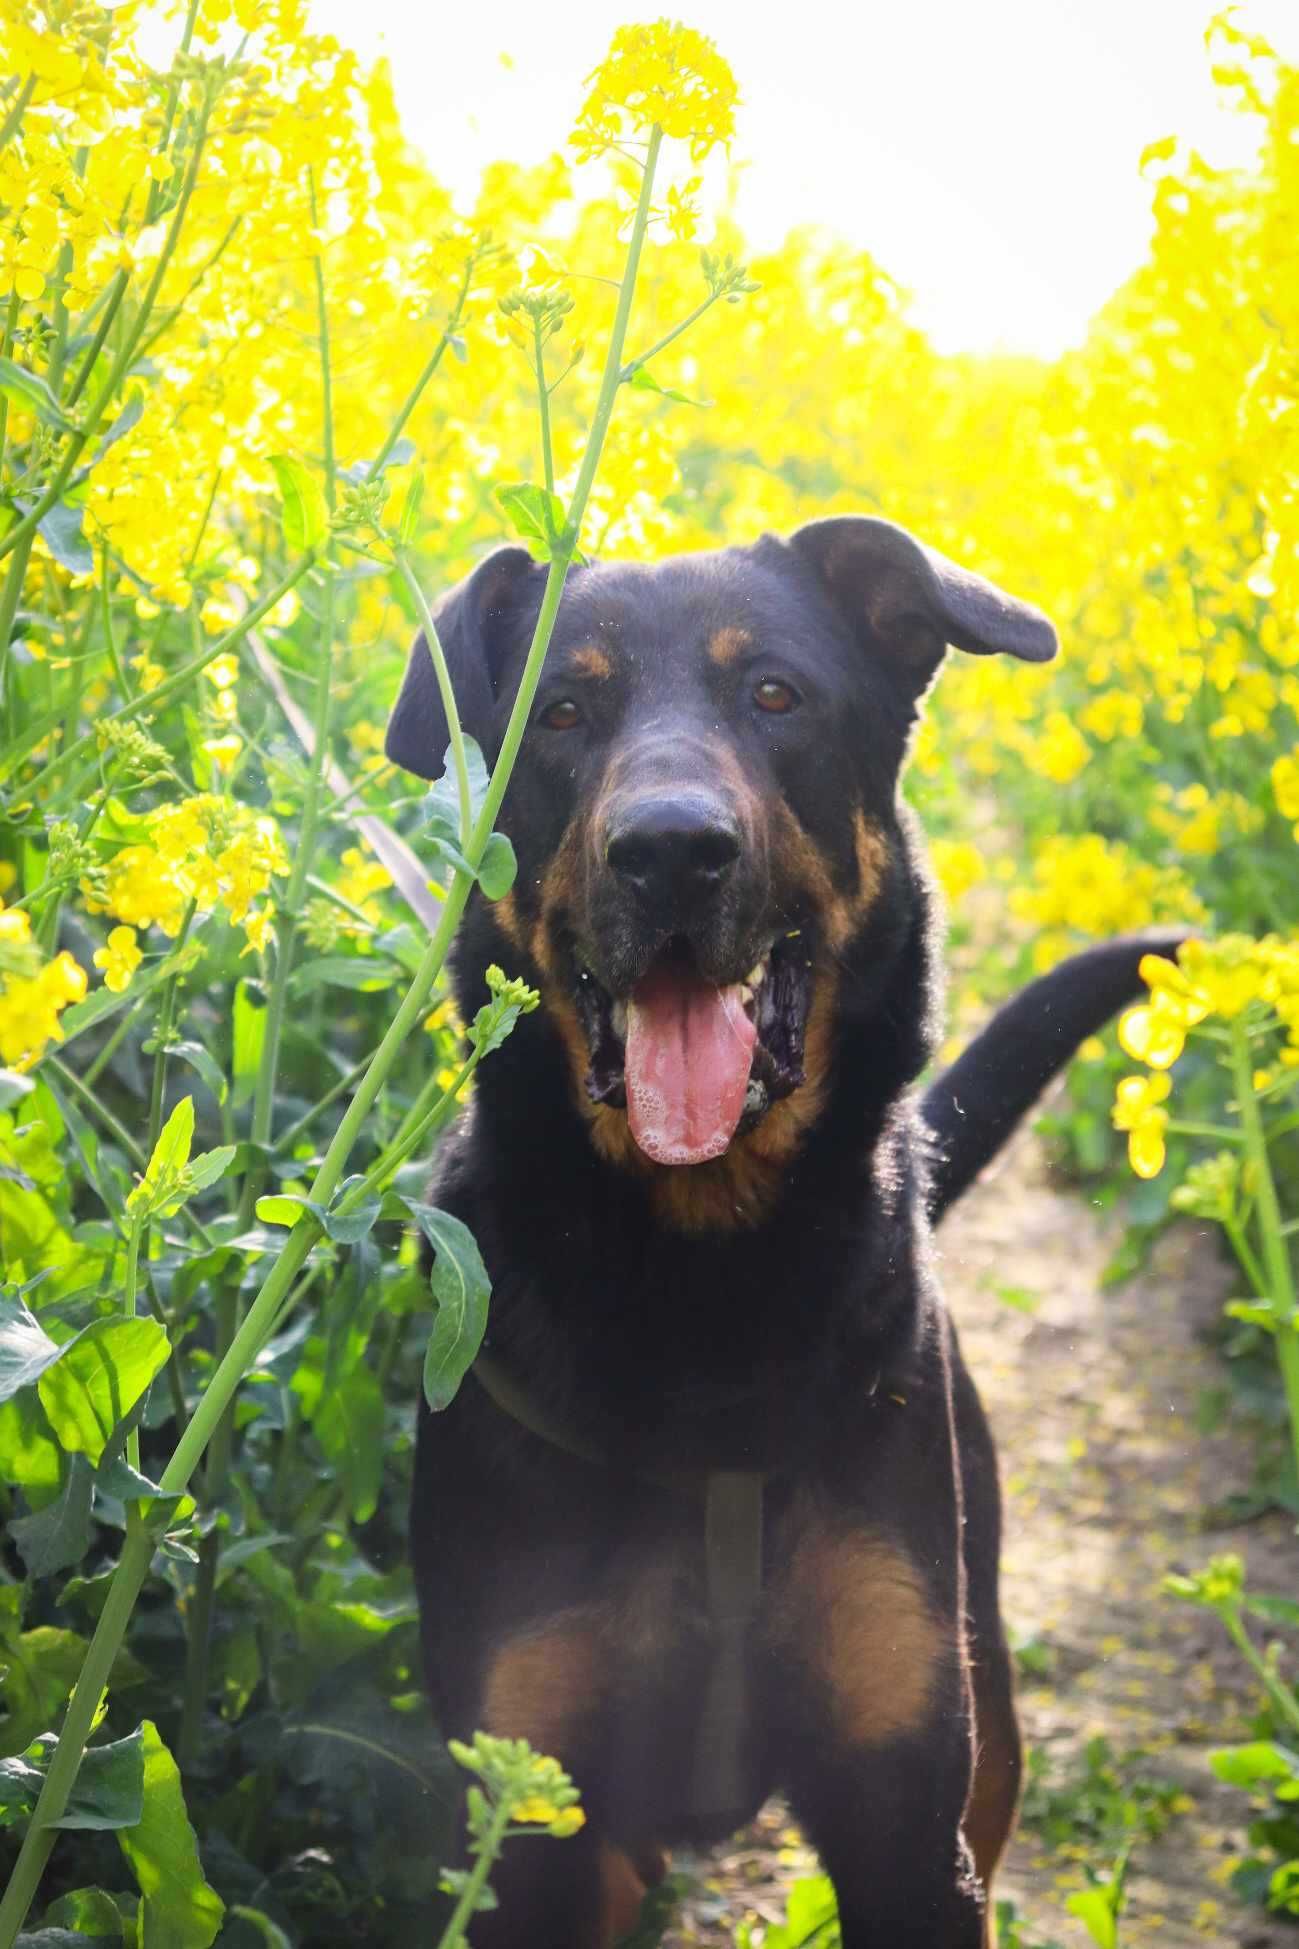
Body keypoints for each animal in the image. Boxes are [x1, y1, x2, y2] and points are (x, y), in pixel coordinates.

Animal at [384, 522, 1162, 1949]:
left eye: (777, 695)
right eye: (561, 713)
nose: (669, 850)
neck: (709, 1269)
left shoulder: (907, 1808)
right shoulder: (533, 1813)